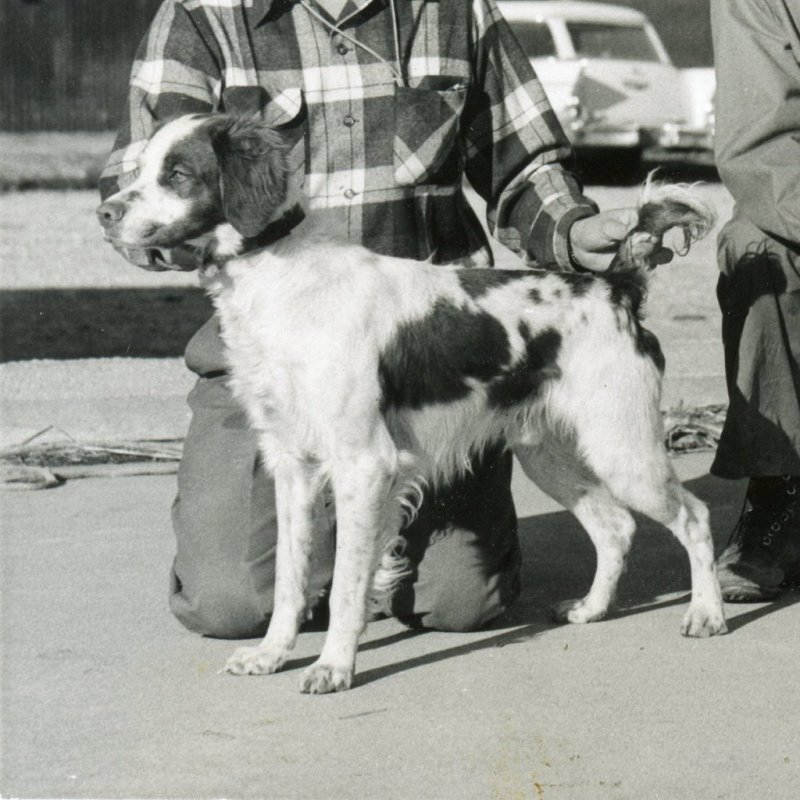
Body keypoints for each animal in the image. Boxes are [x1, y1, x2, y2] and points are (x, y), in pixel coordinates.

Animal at [97, 114, 728, 692]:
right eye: (140, 168)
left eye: (178, 174)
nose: (104, 213)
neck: (283, 280)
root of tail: (614, 288)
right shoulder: (292, 463)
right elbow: (289, 577)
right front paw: (272, 654)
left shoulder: (363, 463)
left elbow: (347, 583)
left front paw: (333, 665)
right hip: (552, 454)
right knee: (615, 526)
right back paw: (591, 609)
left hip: (623, 447)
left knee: (693, 516)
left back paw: (707, 612)